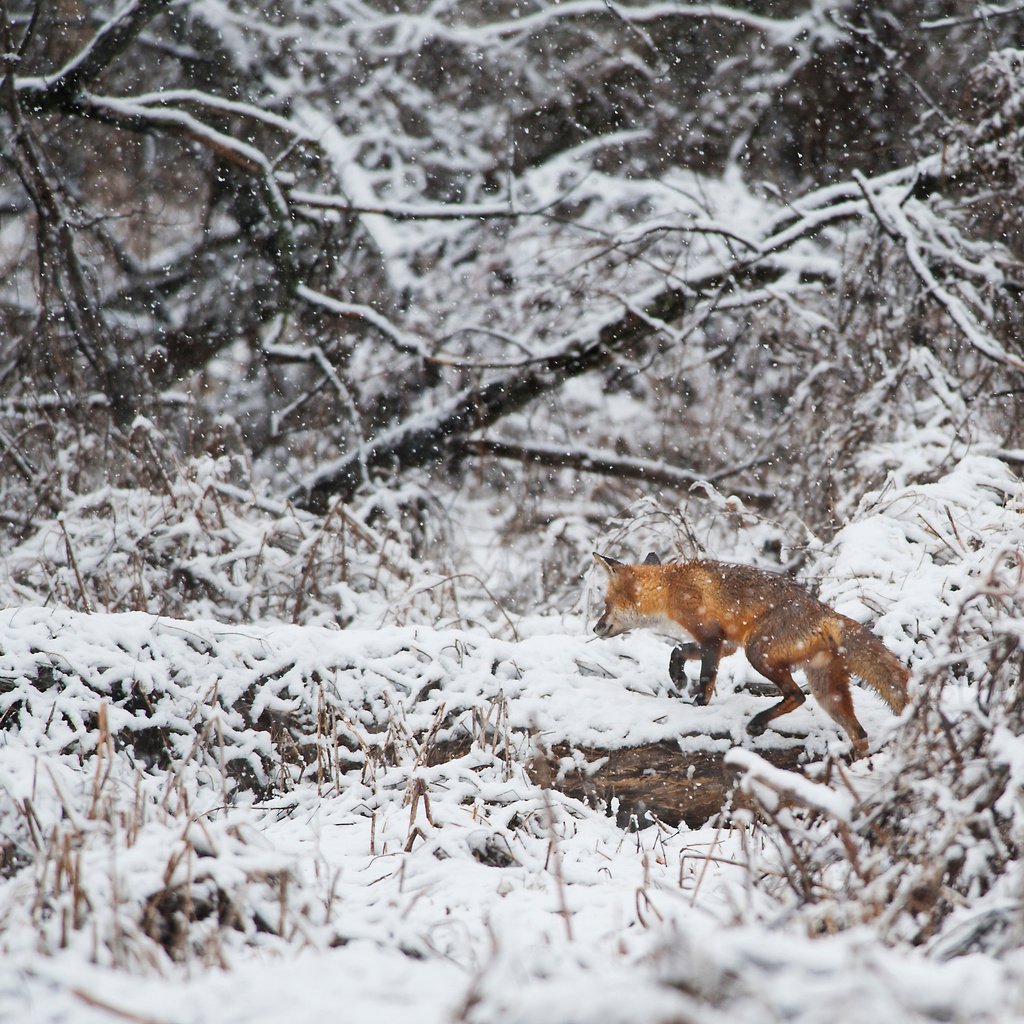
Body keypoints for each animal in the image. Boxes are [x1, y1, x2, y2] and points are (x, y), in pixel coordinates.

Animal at [593, 552, 913, 761]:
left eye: (606, 604)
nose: (595, 628)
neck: (671, 588)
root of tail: (826, 612)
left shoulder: (712, 638)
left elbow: (706, 679)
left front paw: (697, 705)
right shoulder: (726, 644)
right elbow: (677, 651)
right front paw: (678, 676)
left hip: (758, 652)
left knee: (797, 695)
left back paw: (758, 722)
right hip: (826, 692)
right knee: (858, 733)